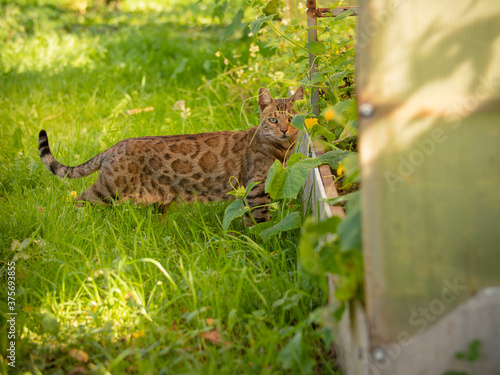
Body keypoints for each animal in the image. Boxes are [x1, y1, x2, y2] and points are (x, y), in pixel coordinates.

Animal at [37, 87, 302, 223]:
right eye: (273, 119)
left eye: (292, 118)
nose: (284, 129)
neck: (283, 150)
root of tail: (113, 146)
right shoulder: (256, 190)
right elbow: (258, 224)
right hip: (109, 189)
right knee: (79, 200)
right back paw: (75, 223)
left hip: (155, 200)